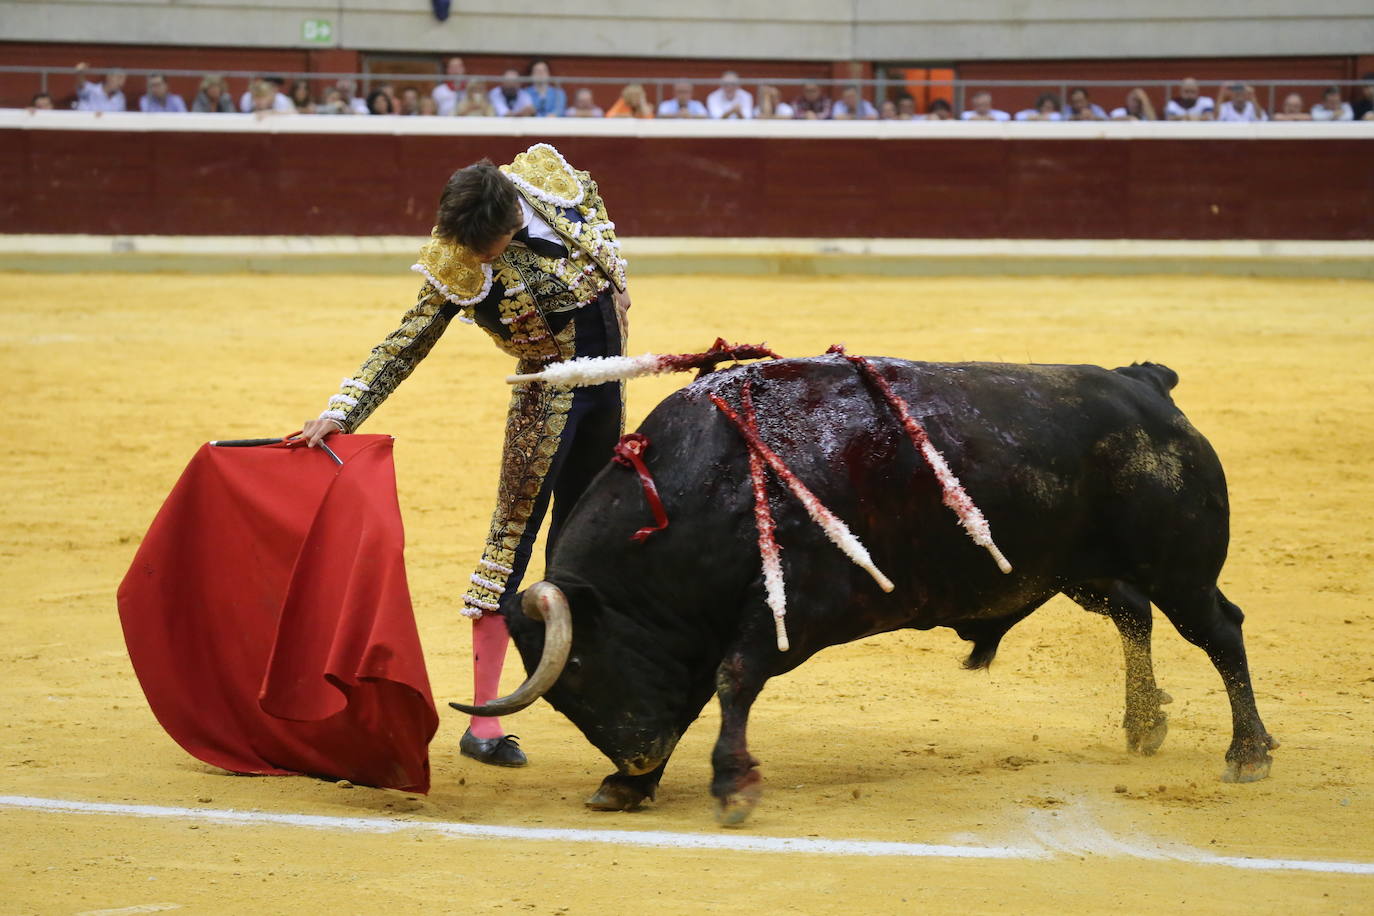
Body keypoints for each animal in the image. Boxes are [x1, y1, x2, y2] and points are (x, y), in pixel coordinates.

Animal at [453, 357, 1275, 823]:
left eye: (578, 671)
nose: (632, 758)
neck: (698, 493)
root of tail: (1146, 386)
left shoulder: (792, 610)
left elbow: (733, 679)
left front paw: (732, 786)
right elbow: (701, 691)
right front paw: (633, 787)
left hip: (1180, 568)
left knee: (1221, 630)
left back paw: (1248, 754)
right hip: (1077, 570)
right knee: (1134, 616)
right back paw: (1145, 723)